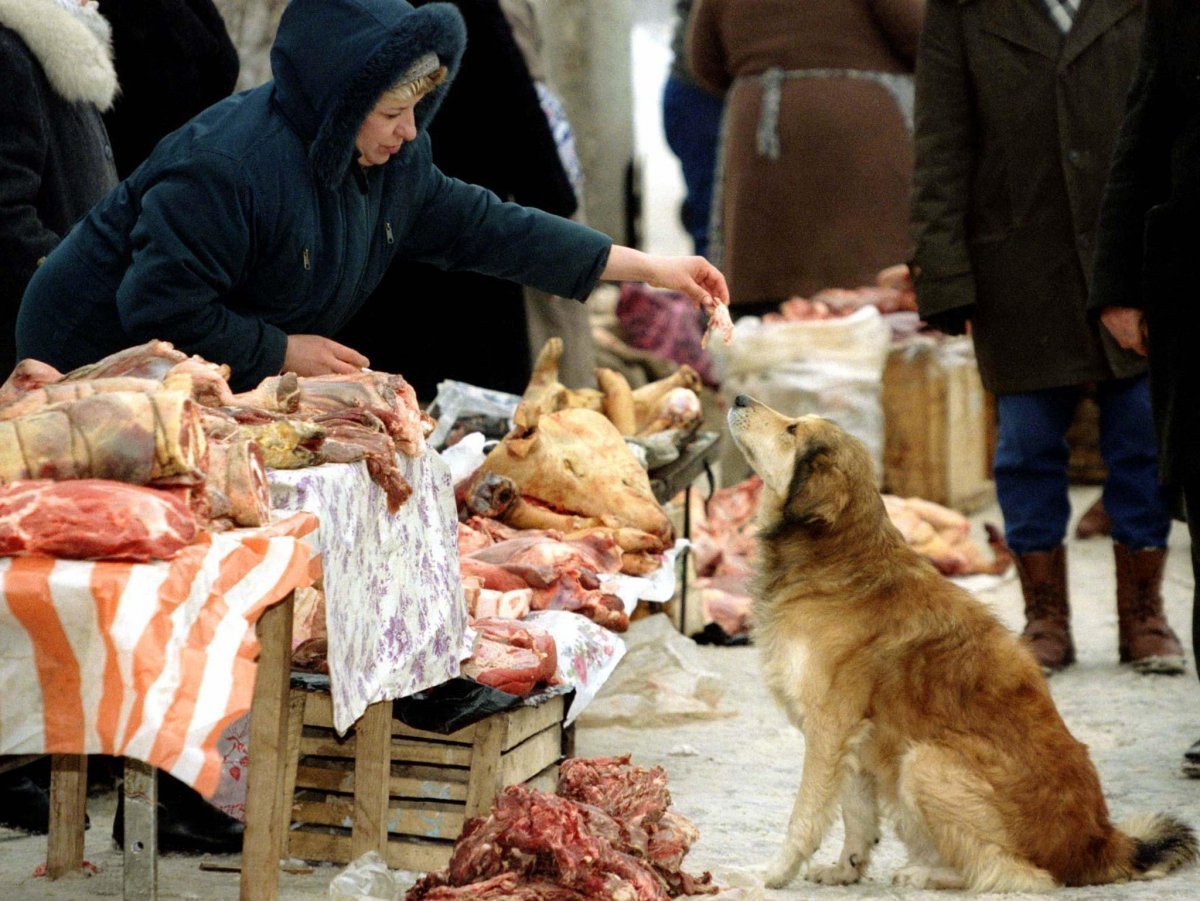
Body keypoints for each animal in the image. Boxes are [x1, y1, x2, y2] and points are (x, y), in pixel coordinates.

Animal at [724, 398, 1195, 892]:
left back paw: (925, 873)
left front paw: (772, 874)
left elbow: (806, 816)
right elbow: (856, 812)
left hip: (925, 761)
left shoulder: (829, 728)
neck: (836, 559)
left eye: (792, 429)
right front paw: (846, 868)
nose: (738, 399)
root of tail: (1100, 843)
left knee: (1015, 873)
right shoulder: (854, 737)